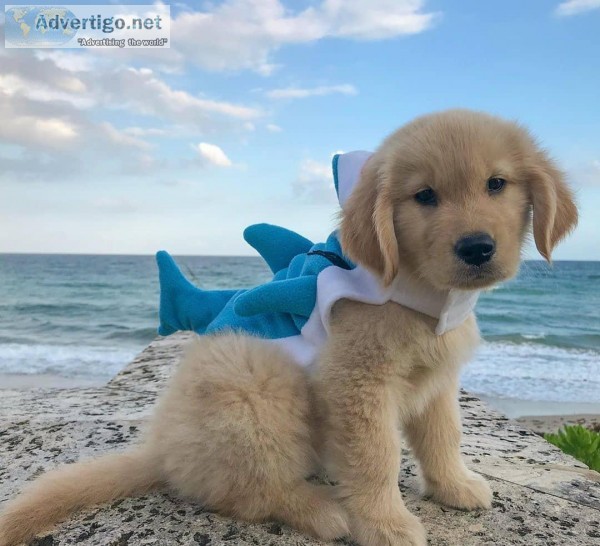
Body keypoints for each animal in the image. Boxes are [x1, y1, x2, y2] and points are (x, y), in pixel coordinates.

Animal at [0, 107, 576, 544]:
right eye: (425, 196)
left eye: (496, 184)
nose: (477, 248)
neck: (420, 294)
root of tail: (162, 451)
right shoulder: (356, 385)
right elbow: (377, 457)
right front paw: (386, 525)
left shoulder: (437, 382)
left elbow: (443, 437)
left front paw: (454, 487)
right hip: (252, 377)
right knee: (252, 492)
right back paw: (322, 509)